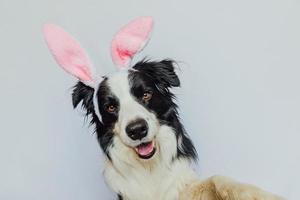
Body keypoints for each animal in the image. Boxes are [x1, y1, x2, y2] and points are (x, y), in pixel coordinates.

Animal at [43, 17, 282, 200]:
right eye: (111, 107)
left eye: (146, 94)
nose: (137, 130)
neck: (150, 169)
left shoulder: (182, 183)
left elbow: (218, 178)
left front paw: (260, 194)